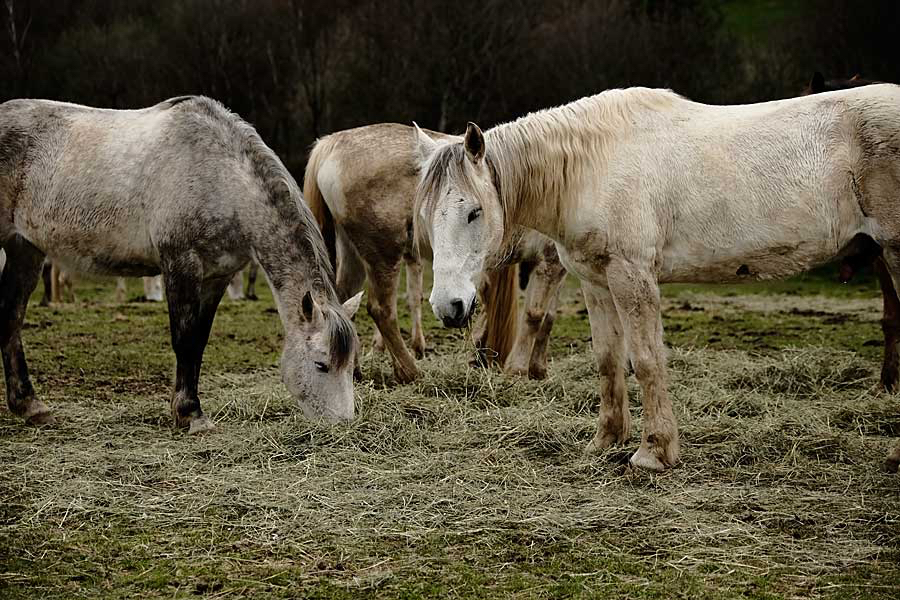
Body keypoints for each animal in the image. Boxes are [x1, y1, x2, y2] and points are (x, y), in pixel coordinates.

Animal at [4, 94, 362, 432]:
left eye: (350, 365)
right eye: (320, 364)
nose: (344, 425)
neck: (221, 177)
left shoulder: (218, 276)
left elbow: (199, 341)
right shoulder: (181, 265)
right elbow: (184, 340)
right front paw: (191, 415)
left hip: (25, 249)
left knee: (12, 317)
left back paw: (31, 407)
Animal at [306, 123, 568, 382]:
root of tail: (330, 145)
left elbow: (548, 317)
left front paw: (537, 369)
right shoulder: (548, 263)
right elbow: (534, 315)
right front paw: (517, 369)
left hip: (354, 253)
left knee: (345, 302)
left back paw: (355, 370)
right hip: (383, 255)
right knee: (382, 309)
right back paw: (409, 371)